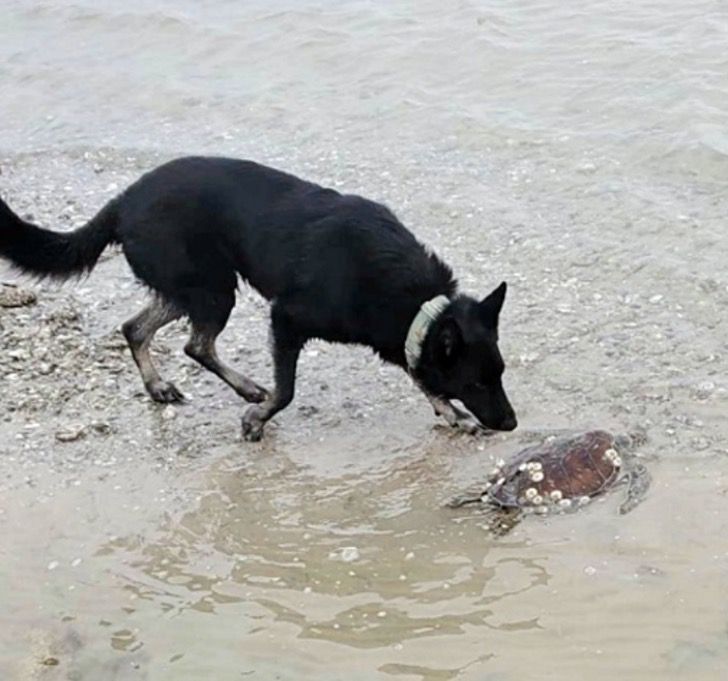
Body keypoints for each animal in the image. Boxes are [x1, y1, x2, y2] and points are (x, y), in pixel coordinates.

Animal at [0, 156, 516, 438]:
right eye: (476, 383)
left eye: (500, 375)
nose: (511, 424)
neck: (416, 304)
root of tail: (122, 202)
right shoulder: (286, 319)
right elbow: (287, 391)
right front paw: (258, 419)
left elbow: (421, 377)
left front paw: (448, 413)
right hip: (211, 289)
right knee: (194, 344)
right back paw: (245, 389)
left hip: (193, 288)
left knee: (136, 329)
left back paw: (159, 386)